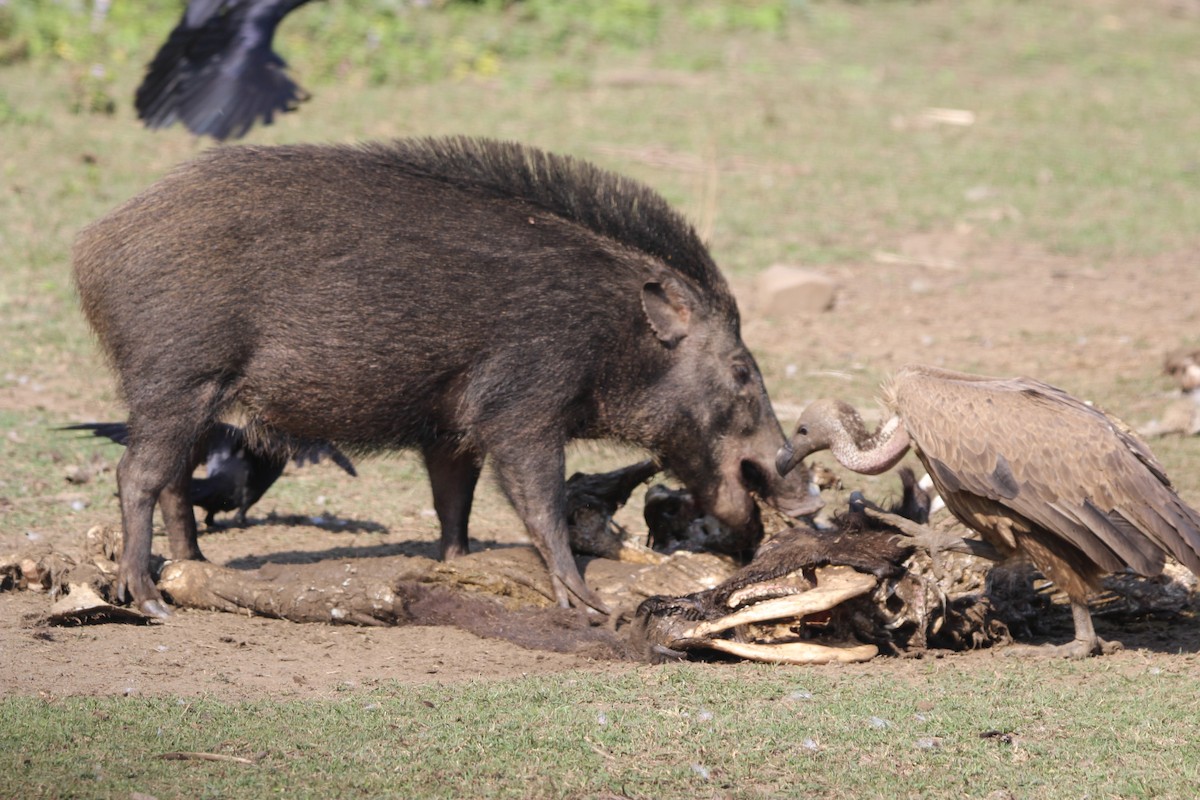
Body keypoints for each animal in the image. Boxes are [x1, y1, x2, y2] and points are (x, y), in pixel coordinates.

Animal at [72, 136, 818, 618]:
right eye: (741, 369)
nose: (808, 496)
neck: (613, 333)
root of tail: (92, 249)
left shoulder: (451, 427)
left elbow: (452, 502)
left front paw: (456, 566)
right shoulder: (521, 406)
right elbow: (540, 502)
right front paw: (585, 602)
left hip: (195, 399)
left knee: (174, 482)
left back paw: (195, 569)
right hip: (176, 377)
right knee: (136, 475)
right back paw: (146, 597)